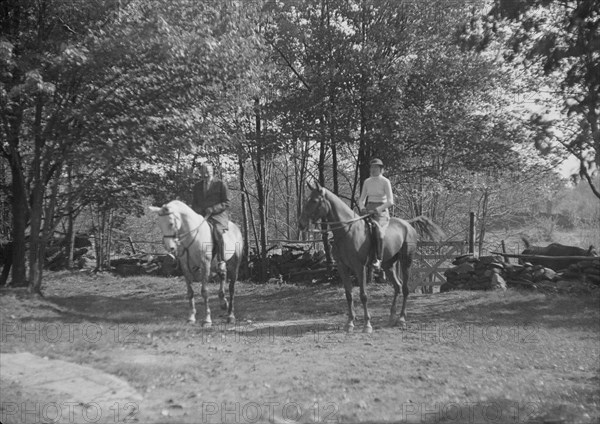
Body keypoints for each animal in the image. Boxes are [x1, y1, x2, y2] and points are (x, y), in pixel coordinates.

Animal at [298, 184, 442, 332]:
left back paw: (401, 319)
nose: (301, 224)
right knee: (397, 286)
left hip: (406, 260)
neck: (347, 231)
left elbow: (363, 295)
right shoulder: (342, 266)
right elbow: (349, 294)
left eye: (314, 201)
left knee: (406, 288)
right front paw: (349, 323)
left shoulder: (359, 267)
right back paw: (391, 318)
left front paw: (367, 325)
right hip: (388, 265)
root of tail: (407, 224)